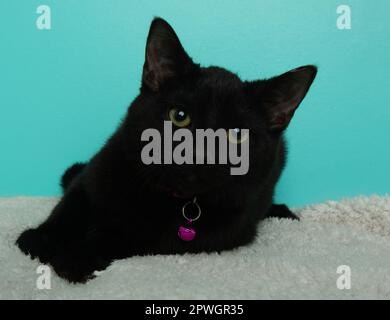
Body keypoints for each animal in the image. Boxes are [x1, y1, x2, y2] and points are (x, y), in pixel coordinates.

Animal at [16, 17, 318, 282]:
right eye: (179, 116)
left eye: (236, 136)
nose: (199, 155)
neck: (172, 197)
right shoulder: (96, 171)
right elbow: (70, 205)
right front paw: (40, 241)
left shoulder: (195, 236)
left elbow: (121, 234)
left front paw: (75, 258)